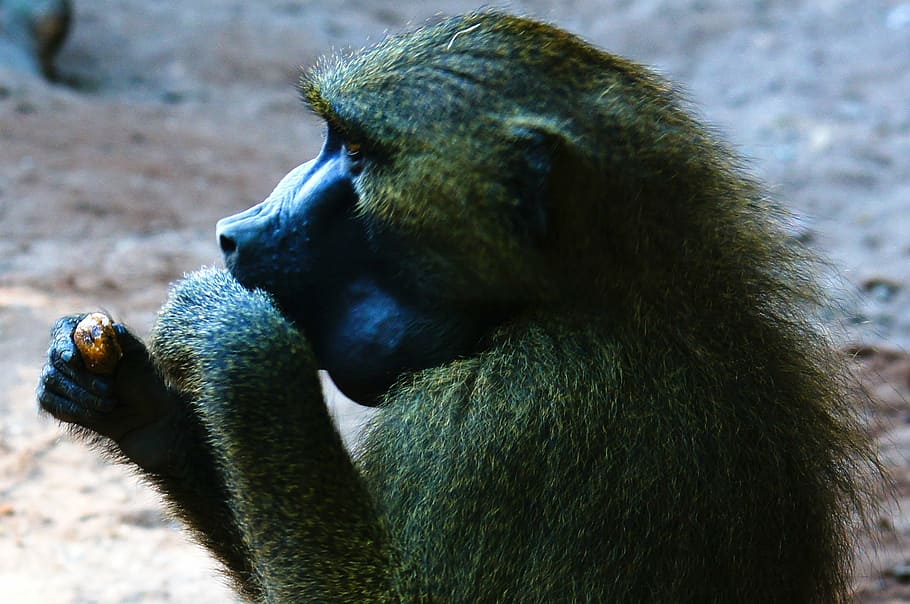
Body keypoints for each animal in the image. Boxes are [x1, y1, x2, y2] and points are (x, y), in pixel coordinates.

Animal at [38, 11, 881, 603]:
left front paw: (232, 336)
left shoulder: (501, 417)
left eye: (357, 153)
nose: (234, 233)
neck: (596, 298)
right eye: (330, 140)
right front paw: (130, 400)